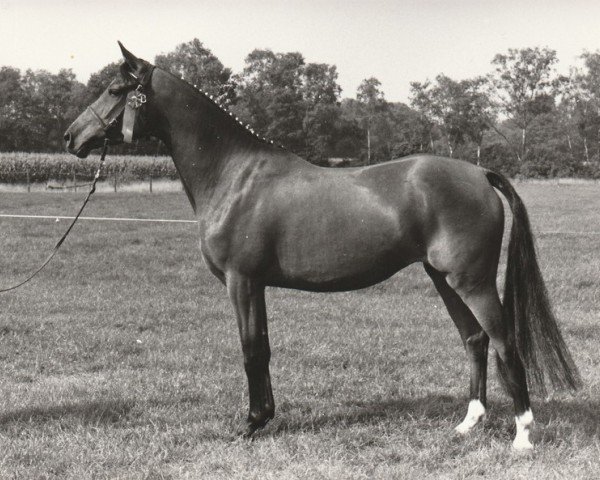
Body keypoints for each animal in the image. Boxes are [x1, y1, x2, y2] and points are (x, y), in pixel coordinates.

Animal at [62, 42, 580, 450]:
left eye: (115, 90)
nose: (71, 137)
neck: (235, 175)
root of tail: (480, 173)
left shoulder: (241, 282)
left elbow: (251, 350)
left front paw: (251, 424)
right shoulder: (255, 285)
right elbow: (263, 347)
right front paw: (264, 418)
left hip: (472, 281)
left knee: (503, 340)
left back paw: (522, 436)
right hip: (443, 278)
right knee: (474, 339)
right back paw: (467, 424)